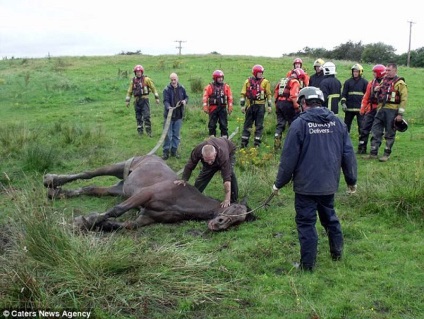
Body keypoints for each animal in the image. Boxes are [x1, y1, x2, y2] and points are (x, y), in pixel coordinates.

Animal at [43, 155, 255, 232]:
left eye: (239, 220)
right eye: (233, 208)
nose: (218, 224)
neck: (181, 199)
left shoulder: (145, 218)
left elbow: (120, 225)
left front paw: (91, 223)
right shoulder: (144, 195)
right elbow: (116, 211)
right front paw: (80, 221)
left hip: (120, 188)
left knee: (91, 189)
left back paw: (58, 193)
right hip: (118, 167)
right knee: (88, 174)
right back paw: (52, 180)